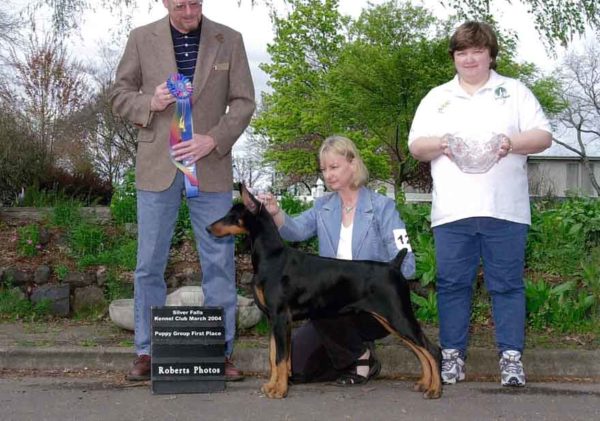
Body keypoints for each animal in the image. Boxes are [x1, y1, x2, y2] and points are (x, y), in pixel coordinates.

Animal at [209, 184, 442, 398]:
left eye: (232, 216)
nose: (208, 228)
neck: (271, 257)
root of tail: (394, 266)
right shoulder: (272, 319)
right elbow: (273, 356)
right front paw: (271, 386)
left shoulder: (281, 317)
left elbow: (280, 358)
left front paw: (280, 390)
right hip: (390, 319)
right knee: (419, 350)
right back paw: (424, 384)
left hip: (398, 315)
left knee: (432, 350)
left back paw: (435, 389)